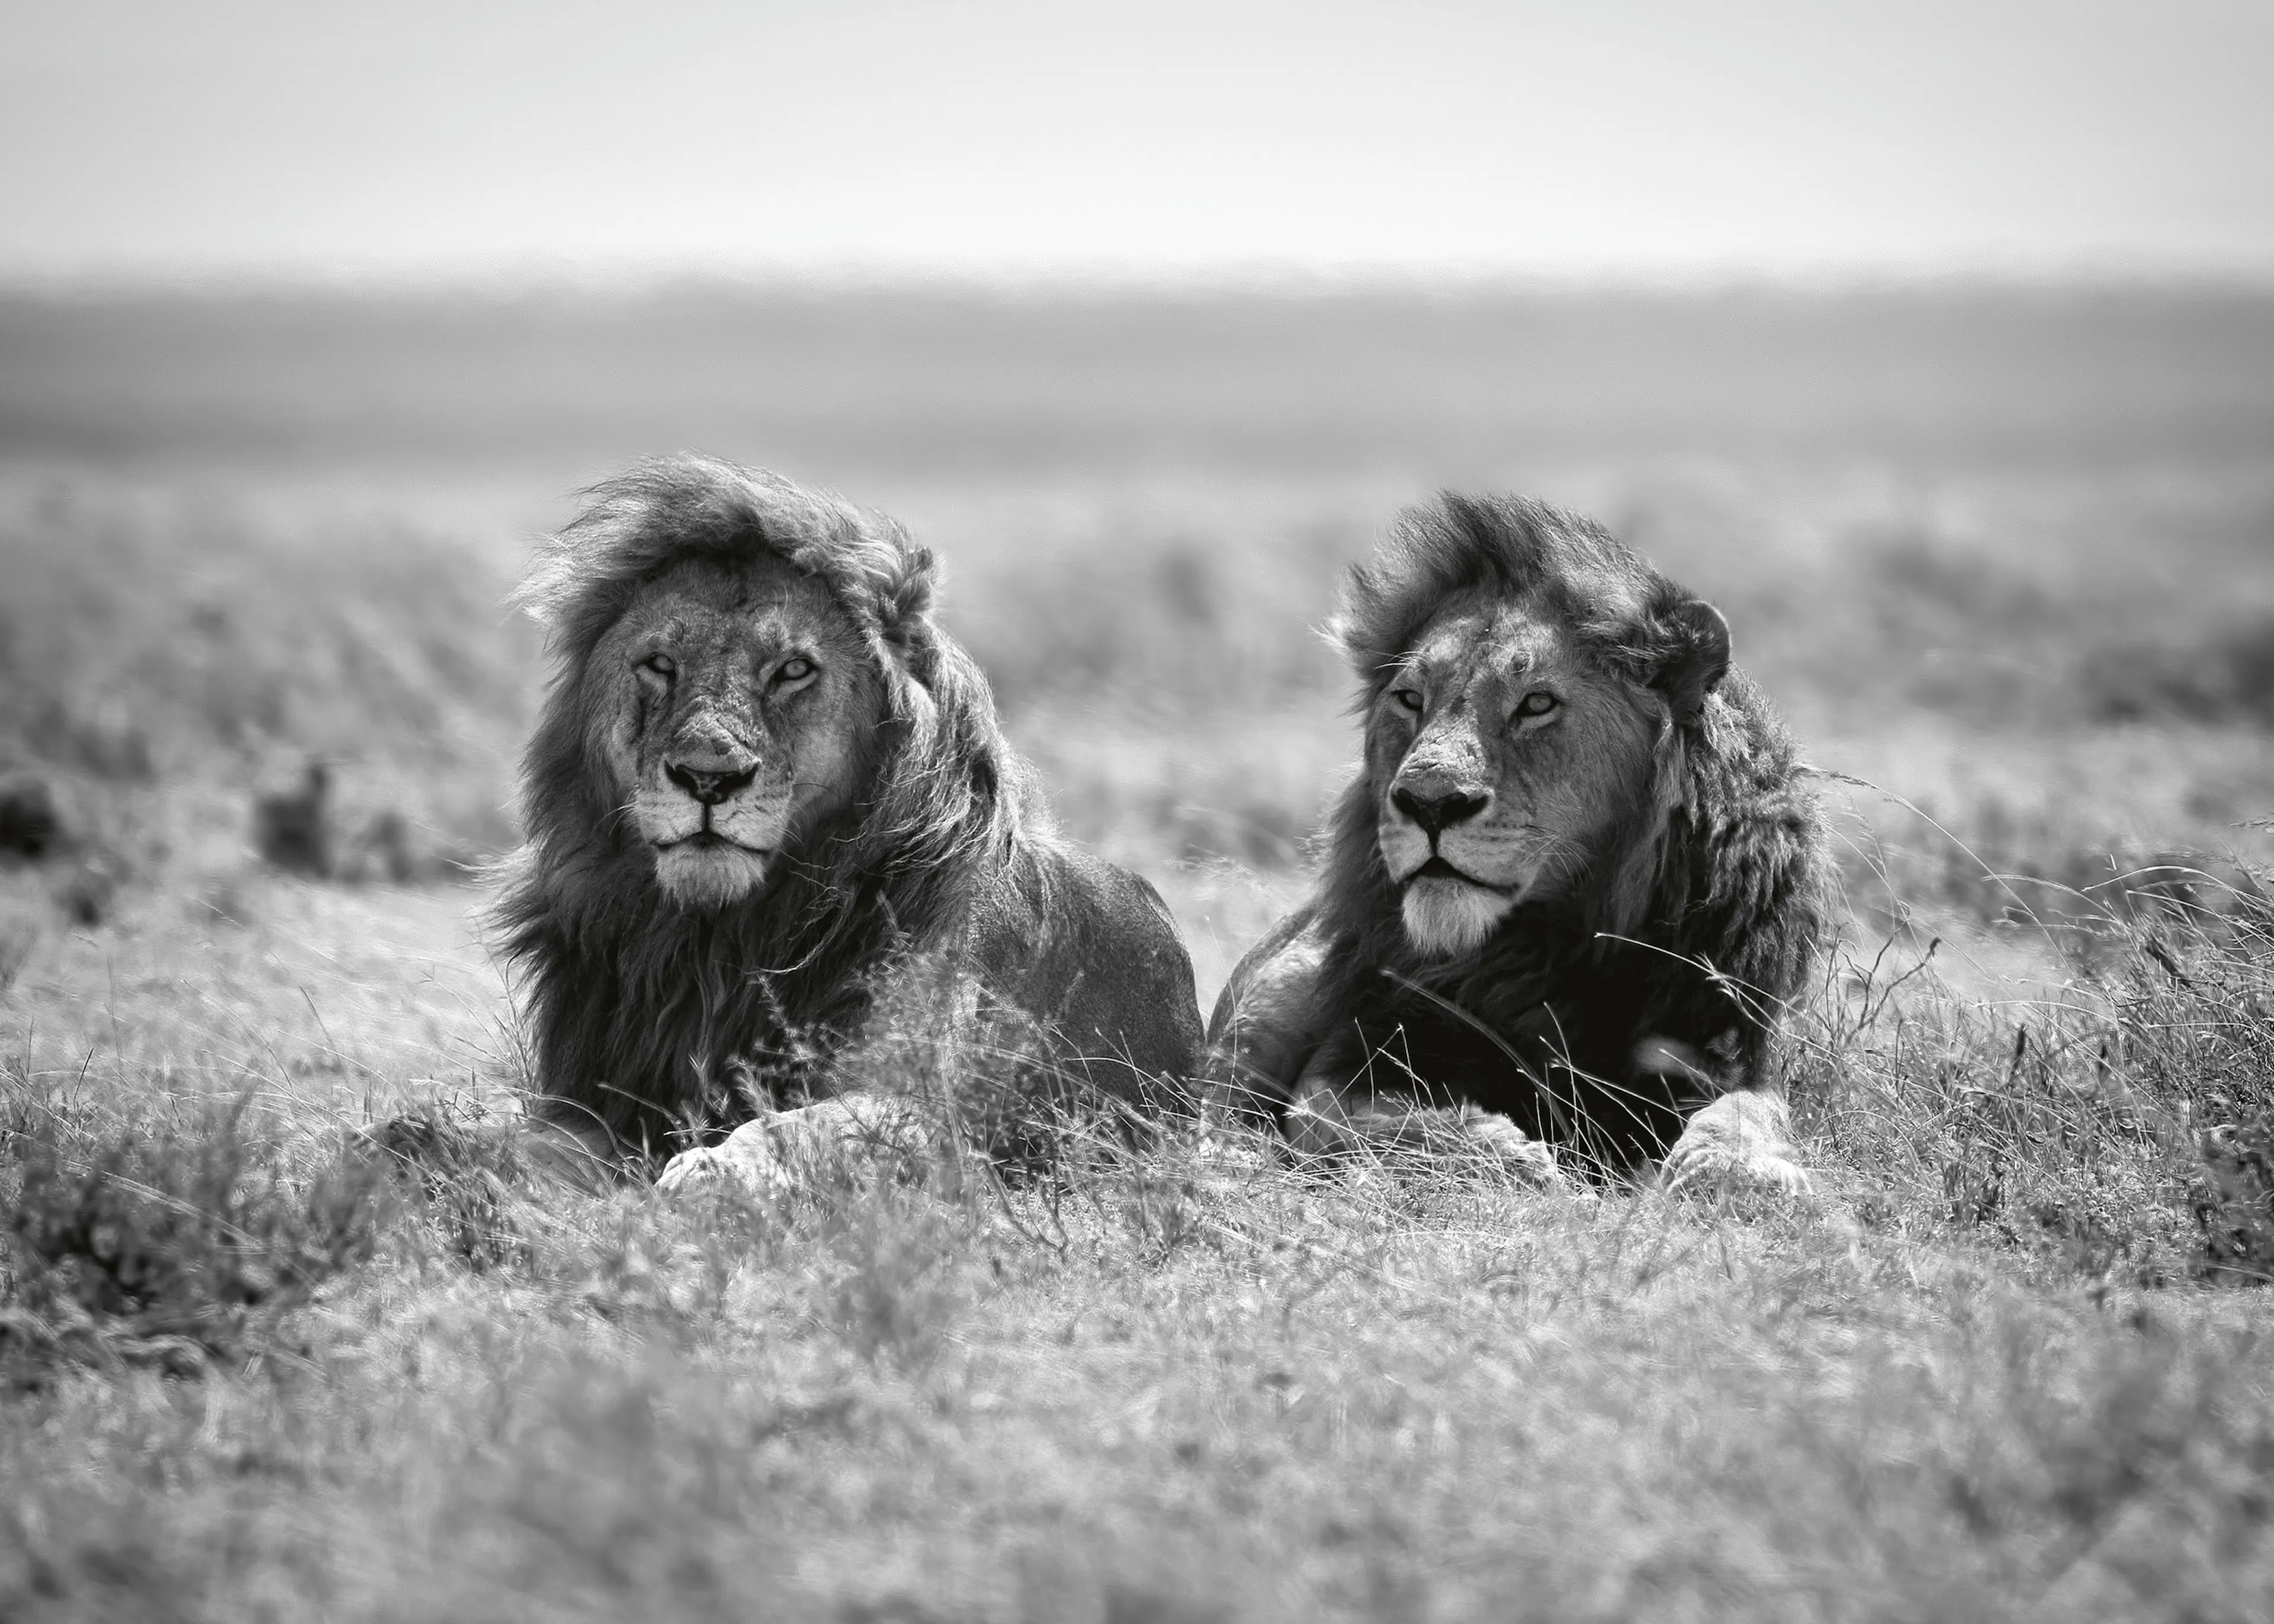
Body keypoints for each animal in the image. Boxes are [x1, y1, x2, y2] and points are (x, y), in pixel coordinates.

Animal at [491, 456, 1205, 1190]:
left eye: (793, 669)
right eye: (660, 665)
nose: (708, 777)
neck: (722, 940)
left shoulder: (927, 1111)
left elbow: (795, 1129)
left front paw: (712, 1171)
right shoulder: (590, 1098)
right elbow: (520, 1146)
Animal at [1206, 493, 1832, 1193]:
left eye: (1536, 704)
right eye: (1410, 699)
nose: (1429, 802)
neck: (1554, 946)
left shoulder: (1734, 1039)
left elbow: (1751, 1111)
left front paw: (1733, 1170)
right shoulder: (1363, 1047)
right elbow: (1343, 1114)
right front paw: (1515, 1156)